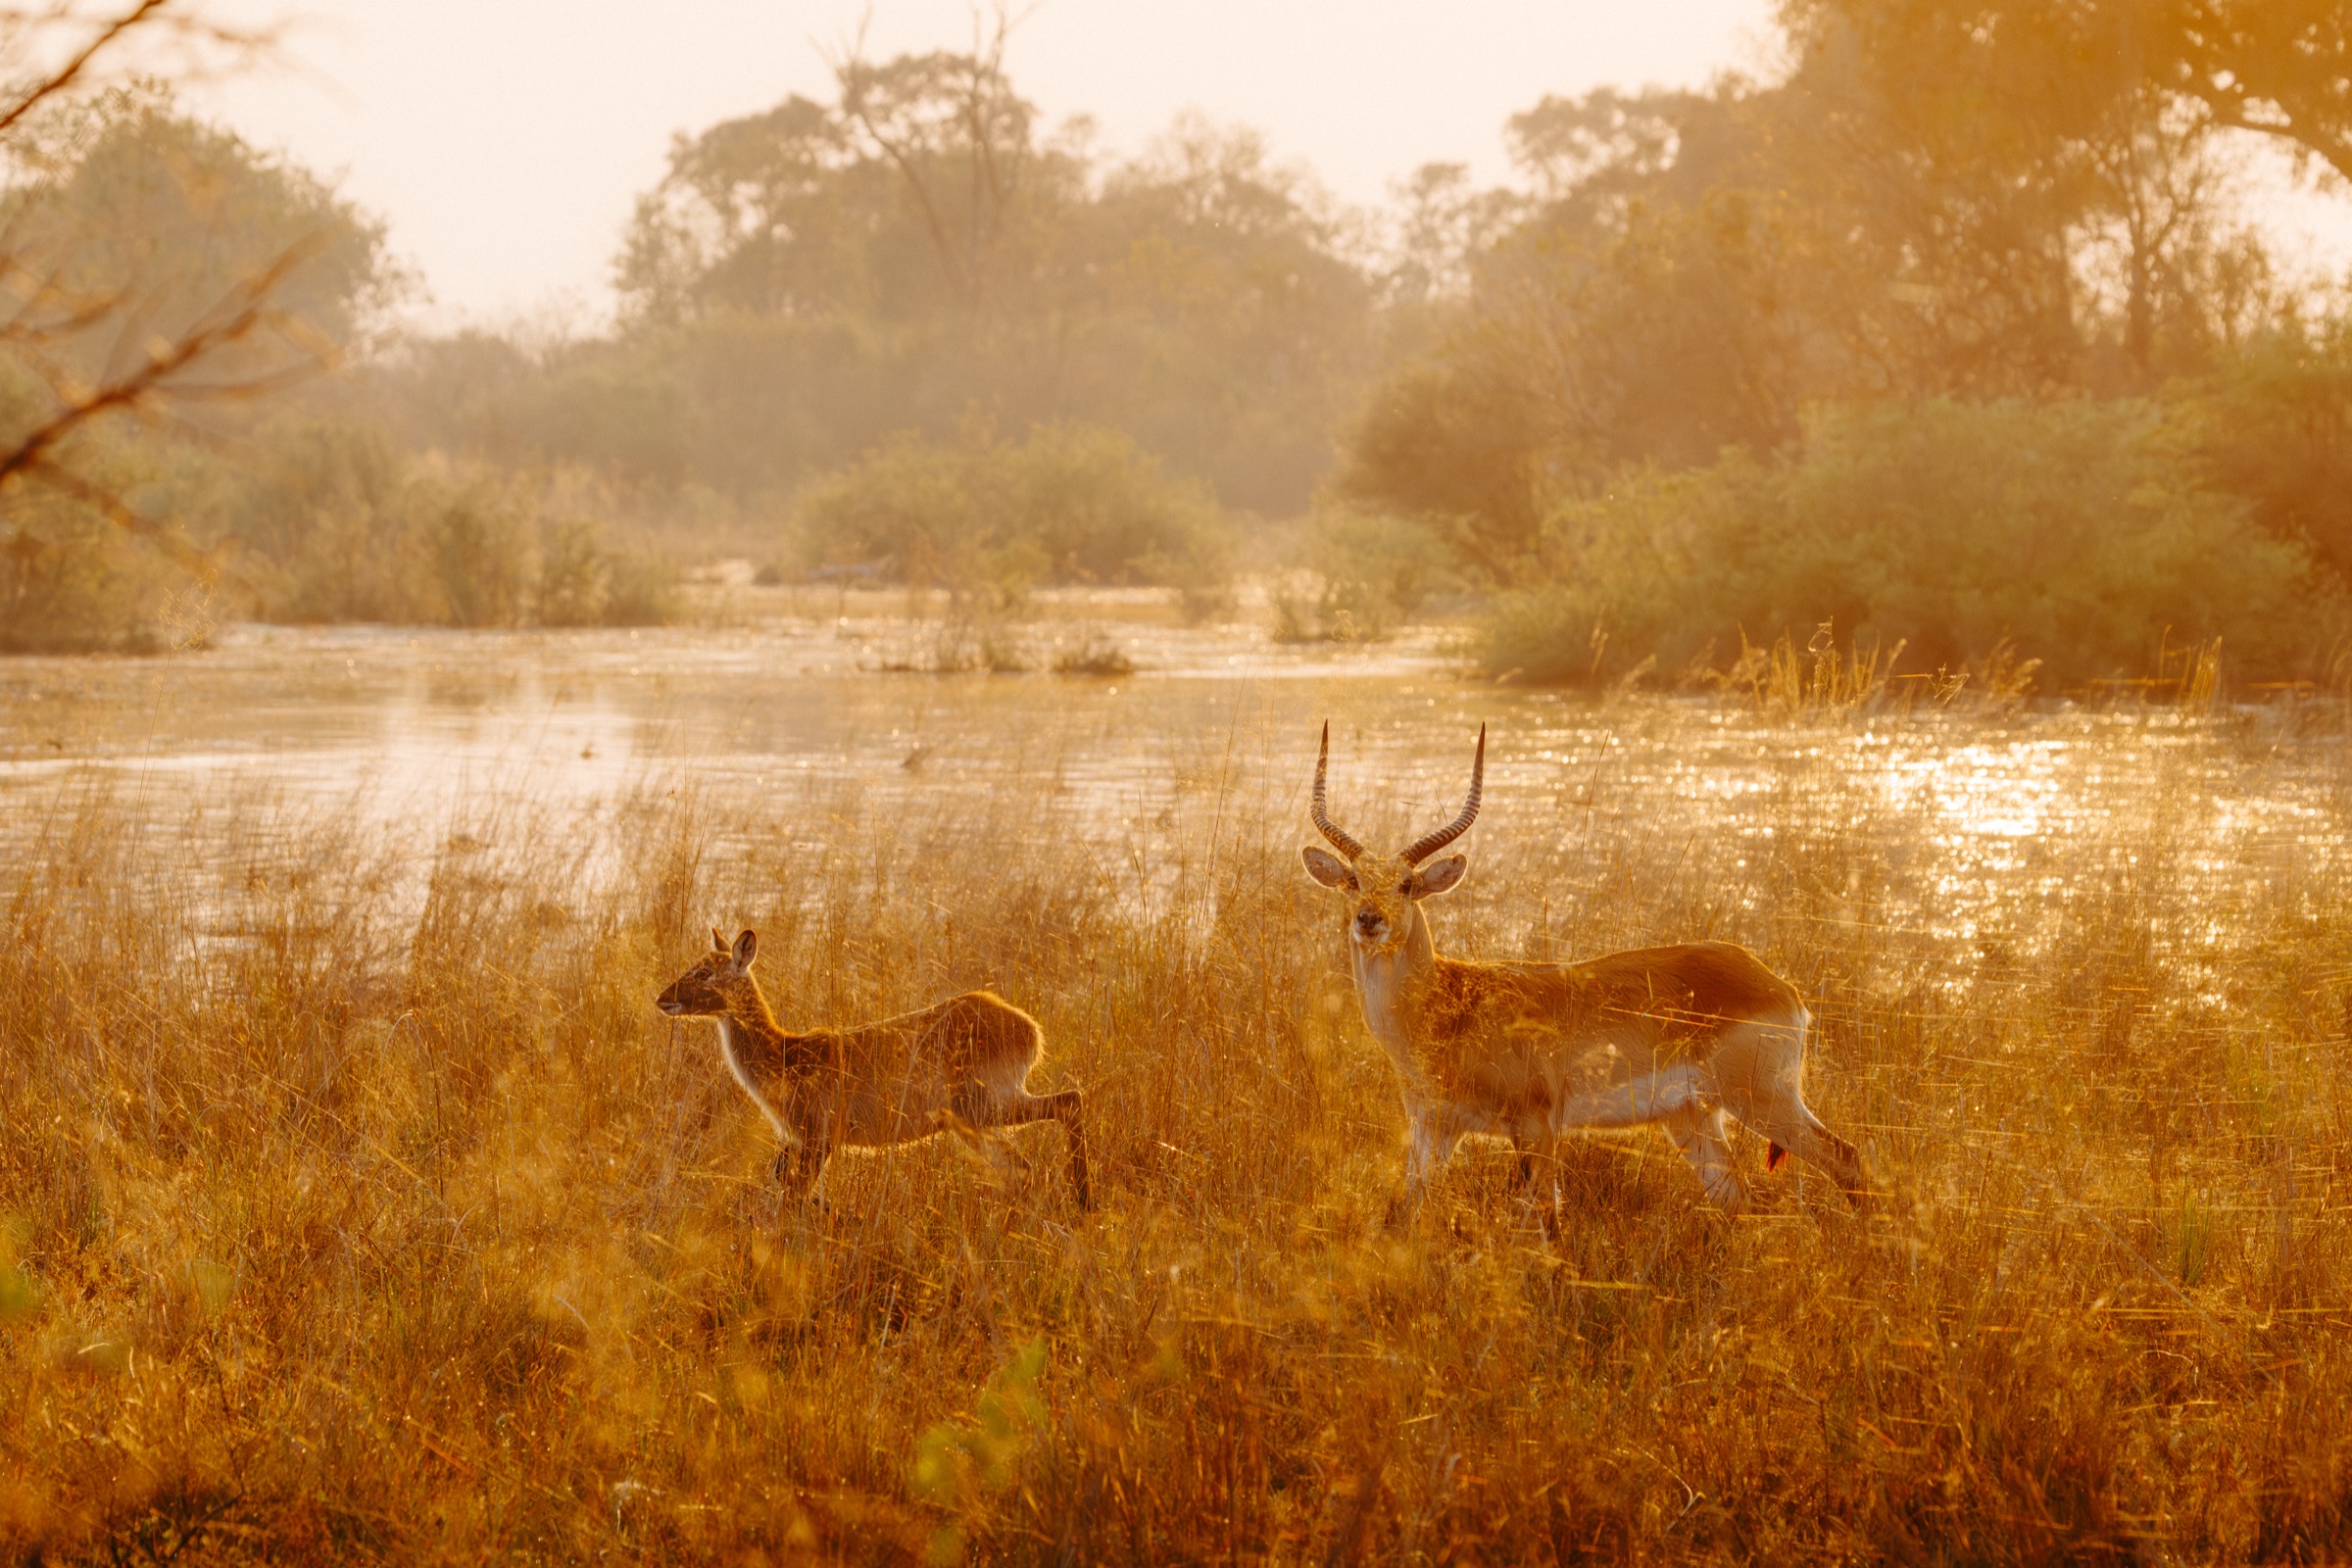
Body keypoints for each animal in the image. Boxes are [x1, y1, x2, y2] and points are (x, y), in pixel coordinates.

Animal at [655, 929, 1091, 1209]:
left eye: (705, 973)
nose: (662, 998)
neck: (784, 1057)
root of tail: (1032, 1032)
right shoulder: (795, 1138)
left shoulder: (820, 1133)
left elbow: (793, 1197)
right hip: (971, 1117)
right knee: (1024, 1163)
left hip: (983, 1102)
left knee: (1067, 1103)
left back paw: (1084, 1200)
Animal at [1300, 723, 1868, 1219]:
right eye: (1354, 880)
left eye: (1406, 884)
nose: (1368, 920)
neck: (1447, 1007)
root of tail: (1780, 985)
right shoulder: (1433, 1130)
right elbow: (1401, 1211)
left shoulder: (1538, 1126)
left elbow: (1543, 1221)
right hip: (1693, 1117)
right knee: (1737, 1195)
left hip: (1763, 1100)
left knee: (1847, 1158)